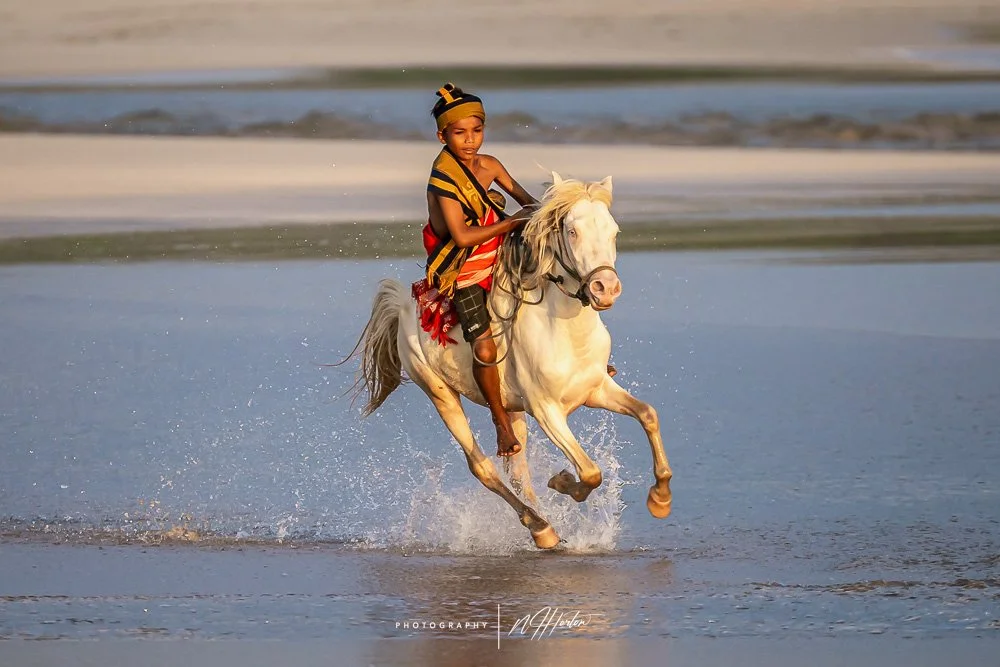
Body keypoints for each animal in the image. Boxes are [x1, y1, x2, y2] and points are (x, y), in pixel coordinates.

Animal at [348, 172, 672, 549]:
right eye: (572, 232)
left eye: (614, 231)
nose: (605, 288)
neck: (566, 333)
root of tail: (403, 306)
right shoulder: (546, 410)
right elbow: (590, 471)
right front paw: (562, 481)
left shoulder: (596, 389)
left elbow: (648, 415)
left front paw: (660, 499)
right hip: (440, 394)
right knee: (483, 468)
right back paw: (541, 527)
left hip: (510, 410)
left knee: (518, 472)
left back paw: (542, 523)